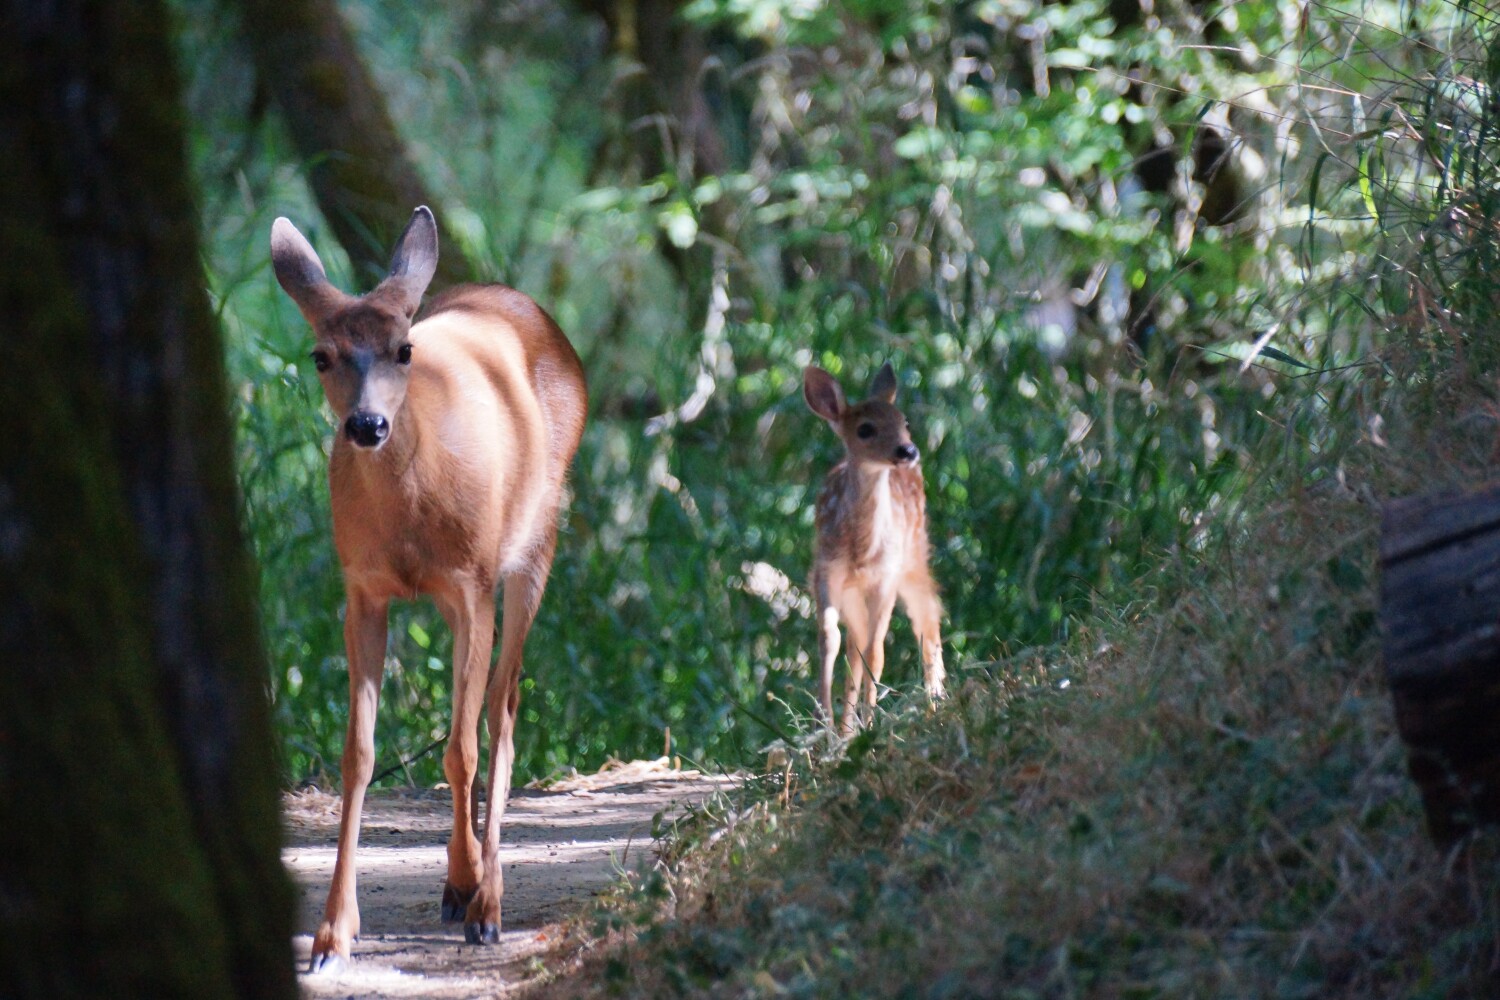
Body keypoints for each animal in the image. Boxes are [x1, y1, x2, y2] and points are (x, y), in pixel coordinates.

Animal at [270, 206, 587, 972]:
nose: (367, 425)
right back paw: (455, 883)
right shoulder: (362, 590)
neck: (410, 514)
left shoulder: (471, 582)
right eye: (321, 356)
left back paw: (486, 901)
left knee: (502, 709)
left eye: (403, 349)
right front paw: (332, 933)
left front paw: (476, 892)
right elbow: (359, 755)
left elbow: (462, 745)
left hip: (535, 543)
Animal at [804, 362, 945, 735]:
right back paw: (846, 729)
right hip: (854, 595)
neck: (861, 550)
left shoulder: (885, 577)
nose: (907, 451)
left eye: (905, 421)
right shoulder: (826, 571)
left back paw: (936, 702)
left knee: (927, 618)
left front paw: (869, 722)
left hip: (913, 558)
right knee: (854, 645)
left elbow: (876, 651)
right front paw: (824, 726)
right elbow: (830, 641)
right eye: (865, 429)